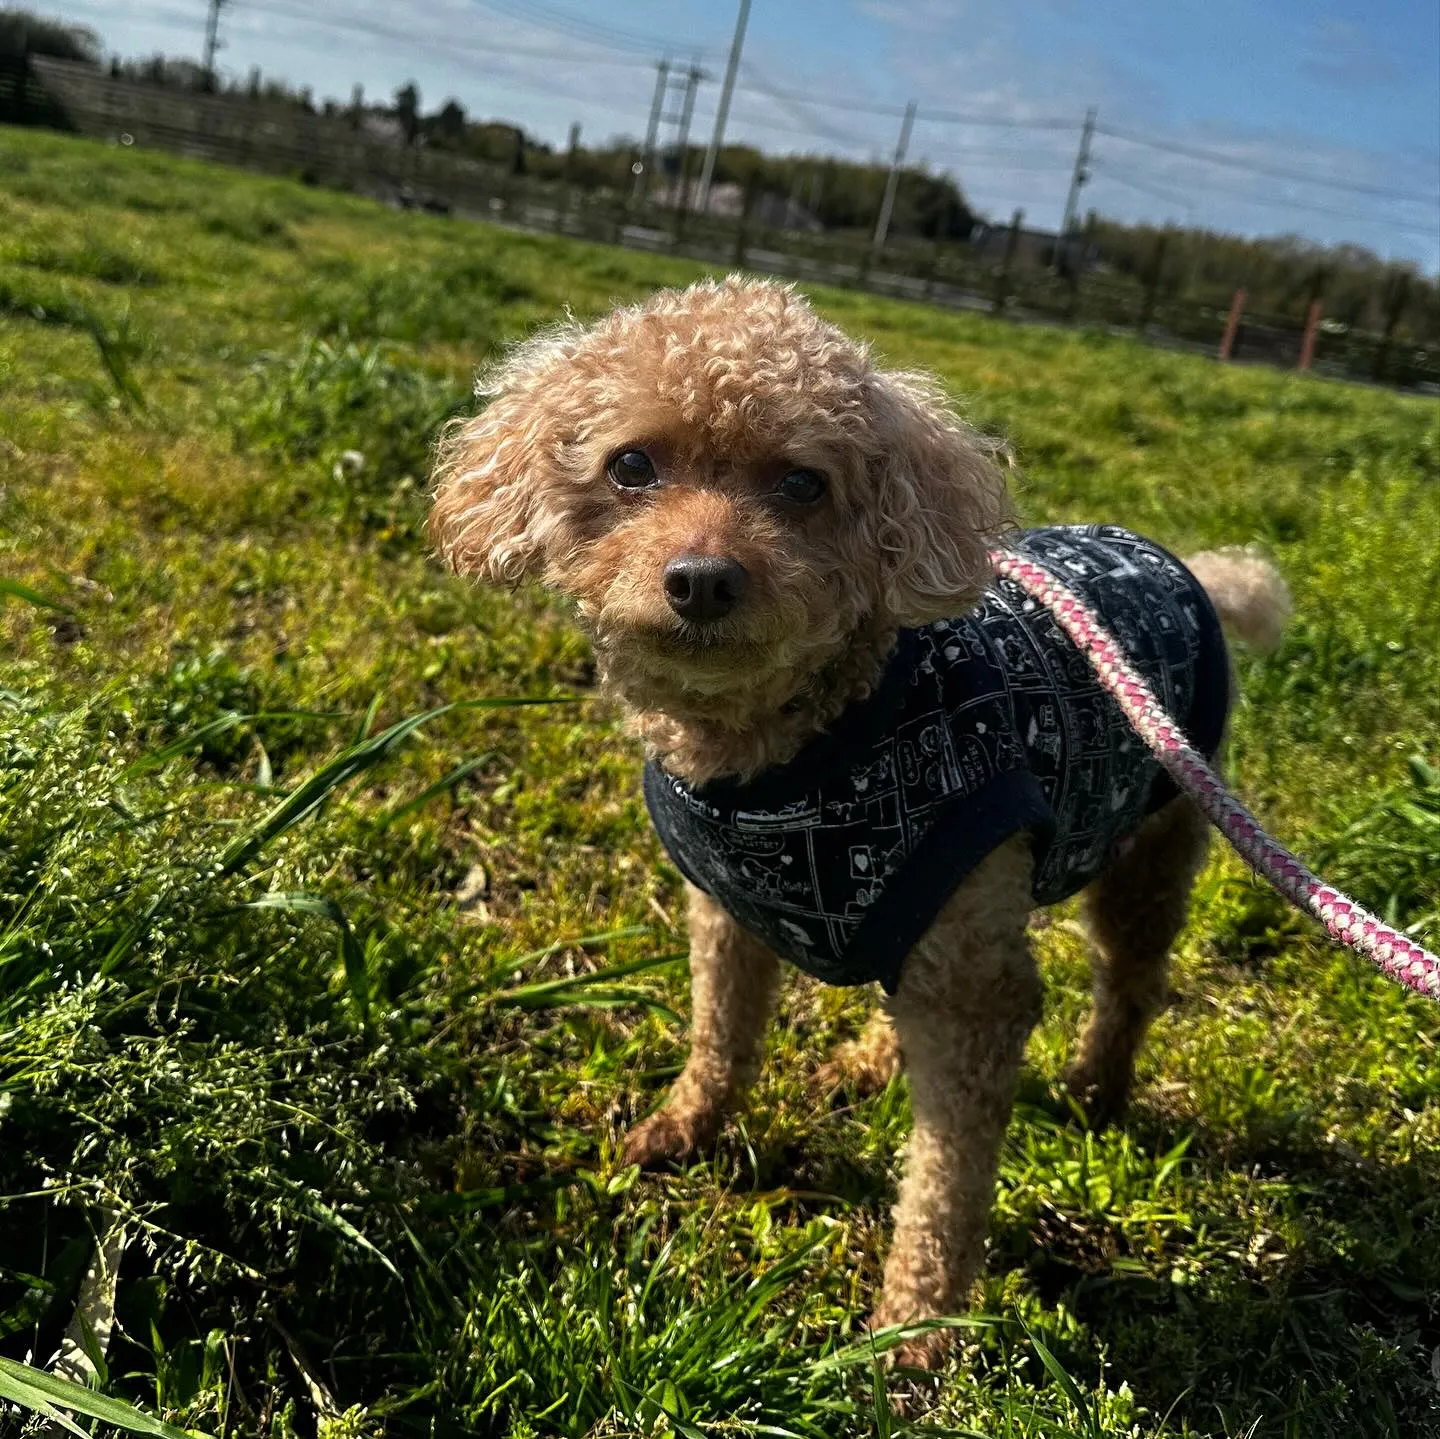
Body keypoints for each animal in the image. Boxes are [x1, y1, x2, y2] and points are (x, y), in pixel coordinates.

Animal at [423, 275, 1284, 1365]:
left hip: (1148, 843)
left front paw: (916, 1326)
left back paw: (1095, 1088)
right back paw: (879, 1060)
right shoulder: (732, 914)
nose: (703, 579)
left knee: (1129, 979)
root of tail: (1193, 570)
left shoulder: (976, 978)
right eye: (631, 465)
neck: (801, 747)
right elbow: (721, 1035)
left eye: (803, 484)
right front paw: (682, 1131)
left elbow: (947, 1177)